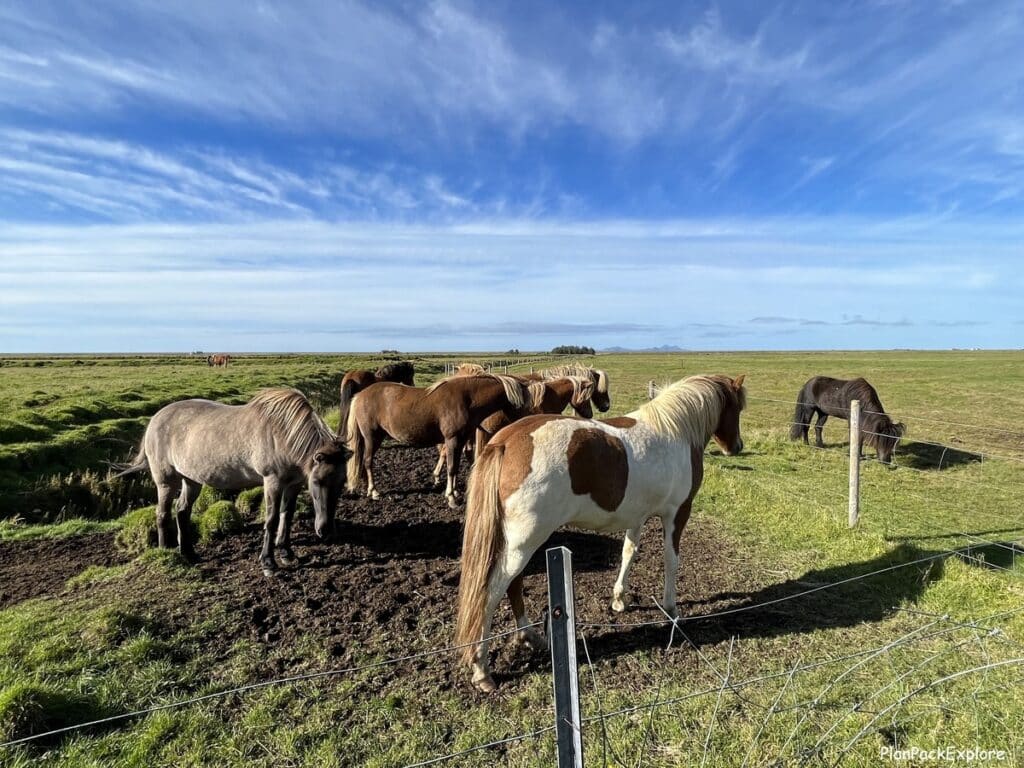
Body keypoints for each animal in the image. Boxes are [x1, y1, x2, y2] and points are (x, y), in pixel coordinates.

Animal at [115, 388, 348, 576]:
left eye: (341, 483)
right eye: (317, 481)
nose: (326, 531)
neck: (283, 434)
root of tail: (156, 418)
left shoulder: (294, 484)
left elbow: (287, 516)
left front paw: (286, 553)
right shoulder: (272, 482)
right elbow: (271, 520)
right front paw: (268, 563)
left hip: (191, 480)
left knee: (182, 511)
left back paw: (188, 553)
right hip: (166, 482)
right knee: (162, 514)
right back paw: (166, 553)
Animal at [346, 373, 533, 508]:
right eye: (522, 405)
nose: (525, 426)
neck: (467, 399)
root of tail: (359, 395)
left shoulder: (460, 440)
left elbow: (455, 467)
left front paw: (455, 492)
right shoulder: (452, 440)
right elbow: (450, 468)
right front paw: (451, 498)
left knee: (364, 462)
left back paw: (367, 489)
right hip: (372, 437)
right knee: (368, 461)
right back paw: (373, 491)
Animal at [455, 374, 746, 691]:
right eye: (738, 407)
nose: (737, 446)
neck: (675, 432)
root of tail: (505, 441)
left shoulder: (637, 515)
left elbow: (629, 552)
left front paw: (619, 599)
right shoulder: (677, 513)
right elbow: (671, 561)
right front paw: (671, 611)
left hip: (518, 544)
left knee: (513, 584)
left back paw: (530, 637)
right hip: (524, 542)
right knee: (491, 592)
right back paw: (482, 668)